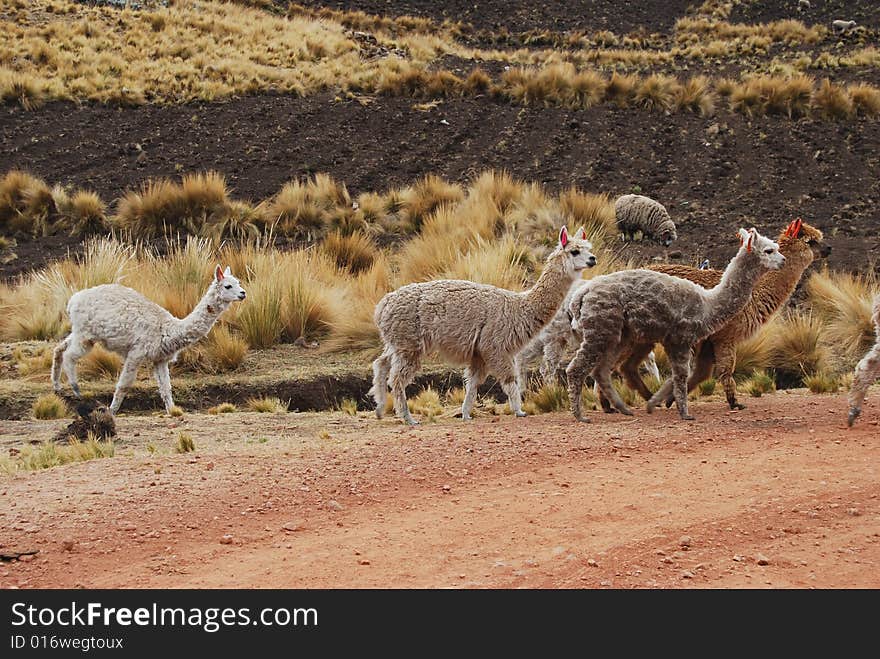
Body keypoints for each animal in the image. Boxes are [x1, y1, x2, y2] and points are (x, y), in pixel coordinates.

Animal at [52, 266, 246, 416]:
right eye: (228, 285)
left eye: (239, 282)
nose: (243, 293)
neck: (168, 329)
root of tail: (73, 300)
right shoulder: (136, 354)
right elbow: (123, 385)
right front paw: (111, 411)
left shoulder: (160, 359)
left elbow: (166, 388)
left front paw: (173, 411)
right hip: (86, 335)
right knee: (69, 355)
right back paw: (76, 388)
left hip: (78, 331)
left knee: (59, 348)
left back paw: (57, 386)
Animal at [372, 224, 600, 426]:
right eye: (574, 251)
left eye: (589, 248)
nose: (593, 259)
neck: (519, 307)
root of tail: (382, 306)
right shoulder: (494, 347)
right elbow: (509, 380)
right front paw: (519, 411)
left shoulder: (479, 352)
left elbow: (472, 384)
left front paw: (465, 414)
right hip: (409, 344)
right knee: (397, 379)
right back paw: (408, 418)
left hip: (397, 342)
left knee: (380, 364)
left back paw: (380, 408)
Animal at [568, 227, 788, 422]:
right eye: (769, 250)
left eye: (777, 247)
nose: (784, 260)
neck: (707, 303)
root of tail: (582, 293)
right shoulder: (681, 338)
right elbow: (681, 375)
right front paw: (685, 413)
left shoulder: (675, 341)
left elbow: (676, 376)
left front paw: (657, 403)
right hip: (600, 329)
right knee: (576, 368)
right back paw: (581, 416)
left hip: (618, 335)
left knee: (602, 371)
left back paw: (623, 409)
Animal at [608, 219, 828, 410]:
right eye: (811, 241)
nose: (829, 249)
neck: (755, 295)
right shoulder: (725, 336)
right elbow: (724, 369)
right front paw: (734, 403)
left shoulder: (708, 341)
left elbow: (701, 373)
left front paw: (672, 398)